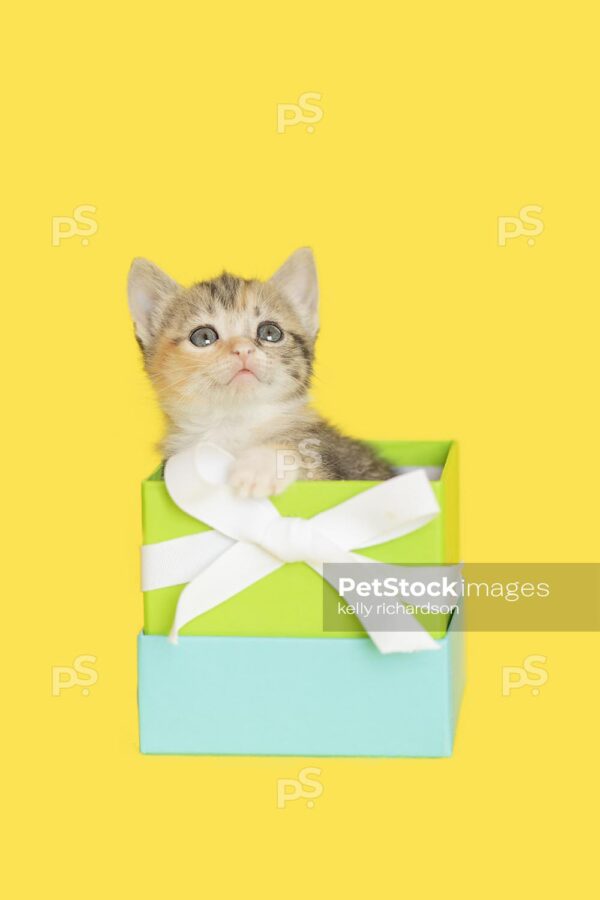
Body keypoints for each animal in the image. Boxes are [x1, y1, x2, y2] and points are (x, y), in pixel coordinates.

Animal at [127, 248, 394, 500]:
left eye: (270, 332)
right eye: (203, 337)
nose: (242, 349)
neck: (235, 424)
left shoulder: (330, 468)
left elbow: (300, 453)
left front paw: (259, 466)